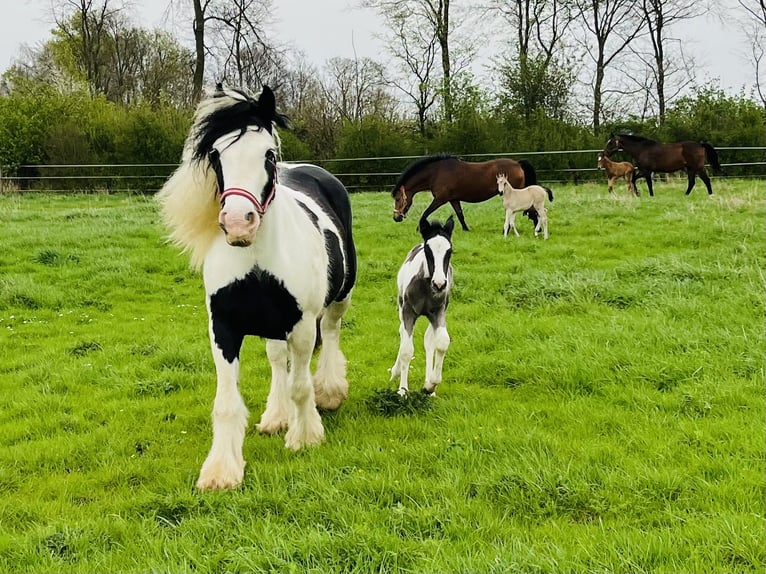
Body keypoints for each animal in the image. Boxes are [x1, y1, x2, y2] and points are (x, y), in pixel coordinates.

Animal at [158, 84, 360, 490]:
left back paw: (329, 392)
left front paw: (305, 436)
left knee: (331, 334)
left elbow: (301, 385)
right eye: (216, 154)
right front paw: (222, 469)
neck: (255, 261)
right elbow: (226, 402)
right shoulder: (223, 328)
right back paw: (276, 416)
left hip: (338, 300)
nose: (239, 222)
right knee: (277, 359)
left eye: (267, 154)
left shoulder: (302, 325)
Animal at [390, 216, 456, 396]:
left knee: (429, 340)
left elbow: (441, 342)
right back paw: (395, 372)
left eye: (449, 251)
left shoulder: (439, 311)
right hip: (401, 306)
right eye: (428, 250)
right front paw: (403, 391)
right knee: (401, 333)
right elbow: (406, 349)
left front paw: (430, 386)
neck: (426, 288)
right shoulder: (408, 311)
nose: (439, 284)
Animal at [392, 156, 536, 233]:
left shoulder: (440, 199)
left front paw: (419, 228)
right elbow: (460, 214)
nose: (396, 218)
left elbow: (425, 213)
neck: (436, 173)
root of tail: (518, 164)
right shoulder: (453, 199)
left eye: (398, 198)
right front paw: (466, 229)